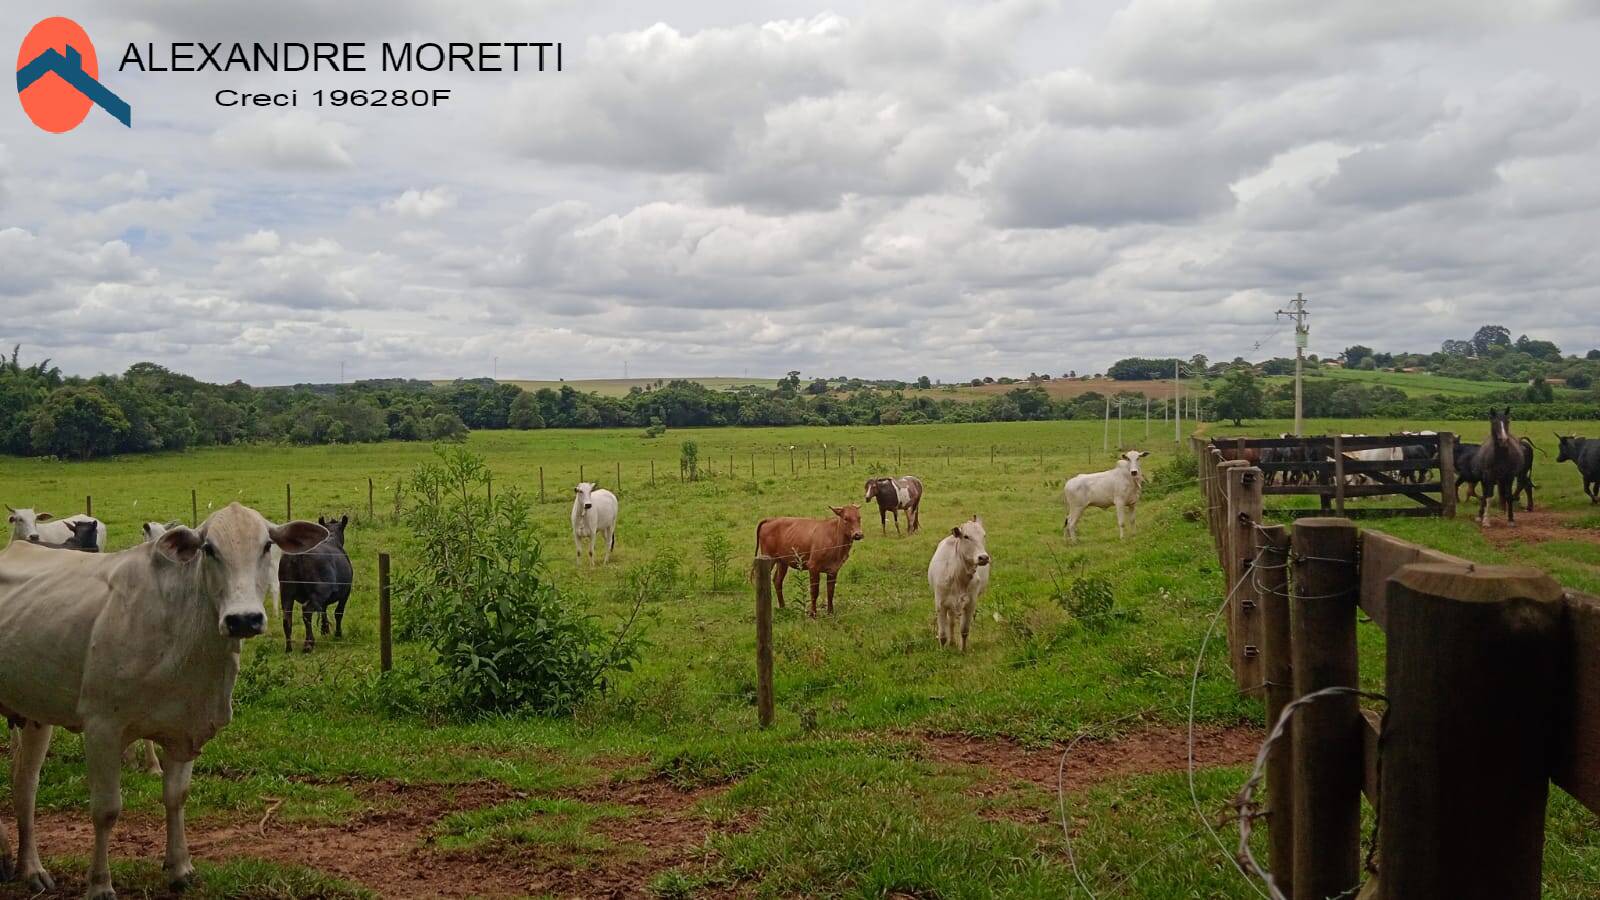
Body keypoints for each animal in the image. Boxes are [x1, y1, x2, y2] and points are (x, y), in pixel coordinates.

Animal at [0, 499, 324, 890]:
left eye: (266, 546)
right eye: (208, 549)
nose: (243, 619)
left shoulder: (185, 728)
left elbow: (176, 797)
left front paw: (180, 867)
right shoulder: (102, 729)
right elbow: (106, 810)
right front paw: (100, 883)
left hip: (35, 714)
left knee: (24, 786)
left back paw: (29, 868)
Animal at [281, 512, 356, 650]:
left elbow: (323, 610)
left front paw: (324, 629)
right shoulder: (346, 591)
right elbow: (339, 612)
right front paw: (337, 634)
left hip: (286, 591)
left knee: (287, 616)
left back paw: (289, 647)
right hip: (319, 591)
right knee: (306, 611)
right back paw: (308, 644)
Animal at [928, 515, 985, 646]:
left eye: (984, 536)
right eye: (966, 536)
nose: (984, 557)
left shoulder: (970, 604)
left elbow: (964, 631)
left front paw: (963, 649)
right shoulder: (940, 604)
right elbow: (942, 635)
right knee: (951, 621)